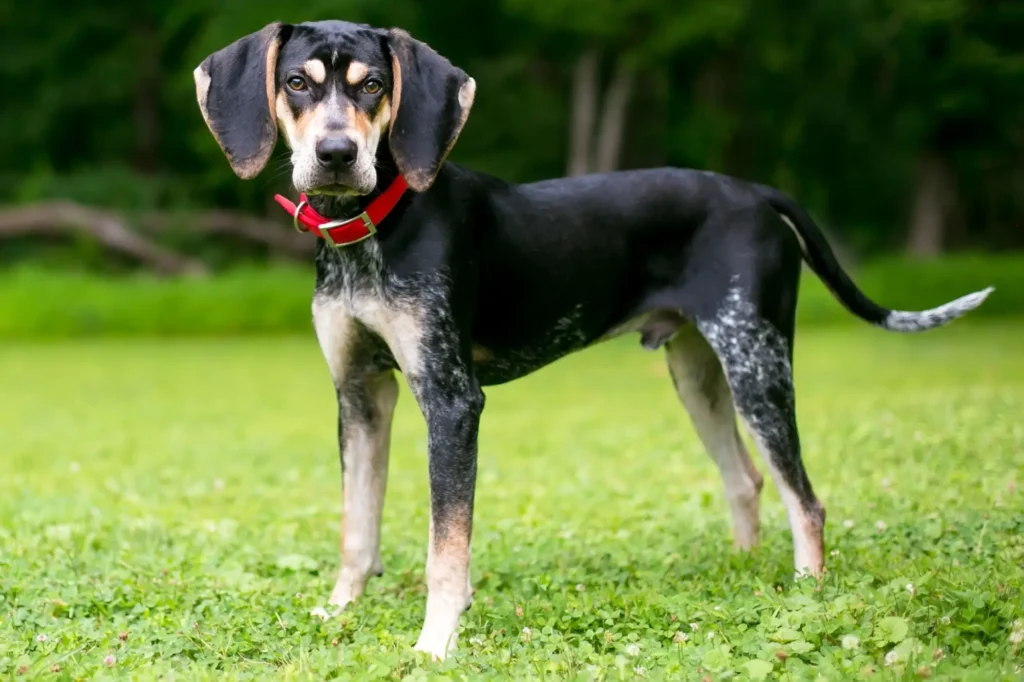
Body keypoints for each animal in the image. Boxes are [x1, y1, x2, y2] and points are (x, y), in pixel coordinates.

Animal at [192, 19, 991, 659]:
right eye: (296, 82)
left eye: (376, 87)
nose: (334, 154)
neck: (375, 228)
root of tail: (753, 192)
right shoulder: (359, 394)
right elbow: (357, 528)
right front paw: (339, 612)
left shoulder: (451, 401)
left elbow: (447, 548)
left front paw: (435, 643)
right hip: (700, 373)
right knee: (746, 479)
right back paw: (744, 573)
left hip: (758, 365)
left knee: (807, 500)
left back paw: (805, 594)